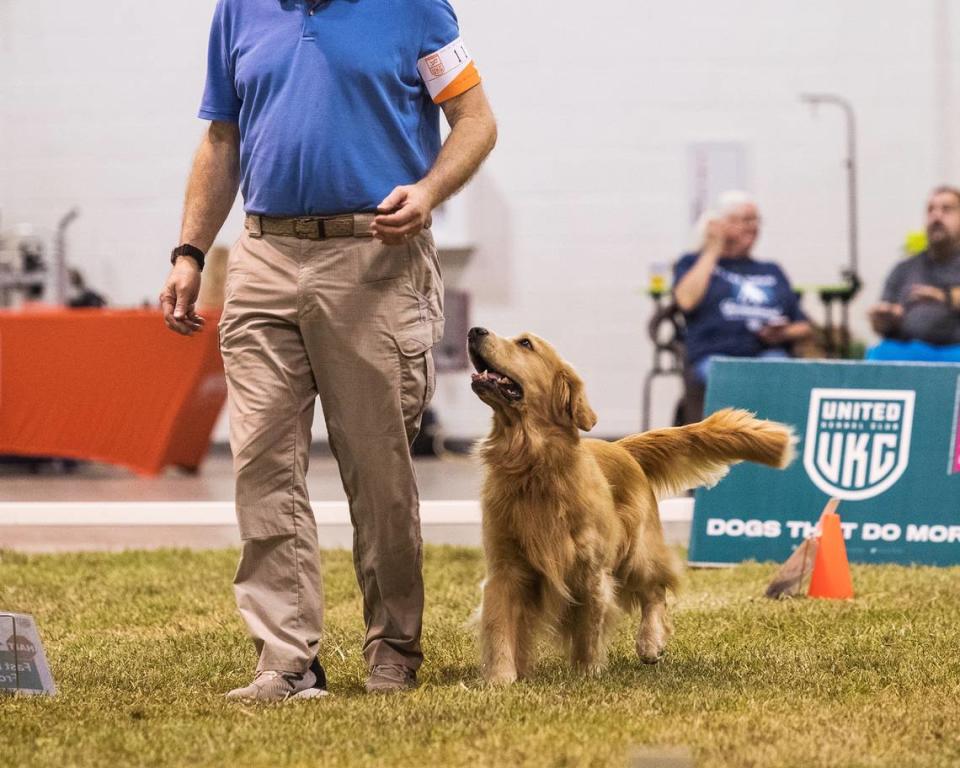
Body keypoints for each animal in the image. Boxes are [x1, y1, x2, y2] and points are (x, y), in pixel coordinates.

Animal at [466, 326, 796, 684]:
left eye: (526, 343)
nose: (475, 331)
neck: (533, 466)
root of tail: (623, 447)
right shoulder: (506, 568)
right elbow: (500, 626)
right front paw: (500, 679)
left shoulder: (590, 570)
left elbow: (589, 627)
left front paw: (587, 671)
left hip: (637, 552)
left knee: (655, 591)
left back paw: (651, 643)